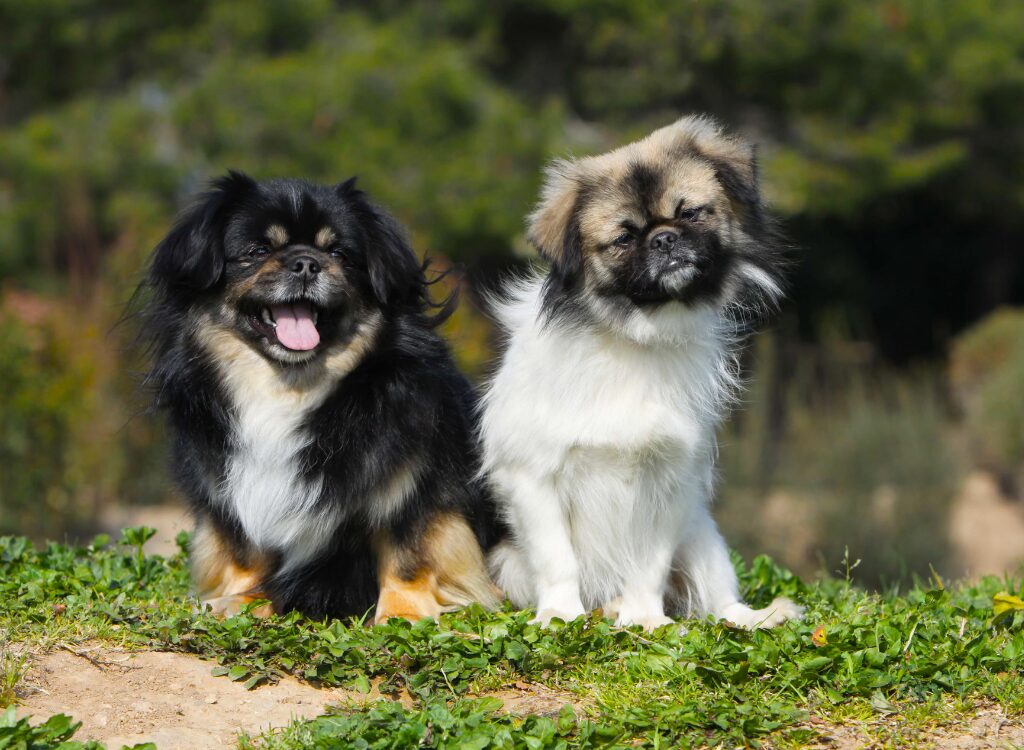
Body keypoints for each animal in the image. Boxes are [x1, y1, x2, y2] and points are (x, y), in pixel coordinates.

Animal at [140, 174, 499, 622]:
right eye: (258, 251)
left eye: (338, 253)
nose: (306, 263)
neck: (288, 387)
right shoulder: (232, 491)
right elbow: (244, 550)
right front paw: (241, 598)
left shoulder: (417, 486)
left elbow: (409, 553)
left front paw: (403, 616)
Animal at [477, 115, 798, 631]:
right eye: (624, 238)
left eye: (691, 213)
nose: (664, 239)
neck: (635, 336)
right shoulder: (533, 475)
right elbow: (557, 559)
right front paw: (560, 614)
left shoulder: (669, 481)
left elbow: (648, 563)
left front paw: (644, 618)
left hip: (703, 536)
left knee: (719, 603)